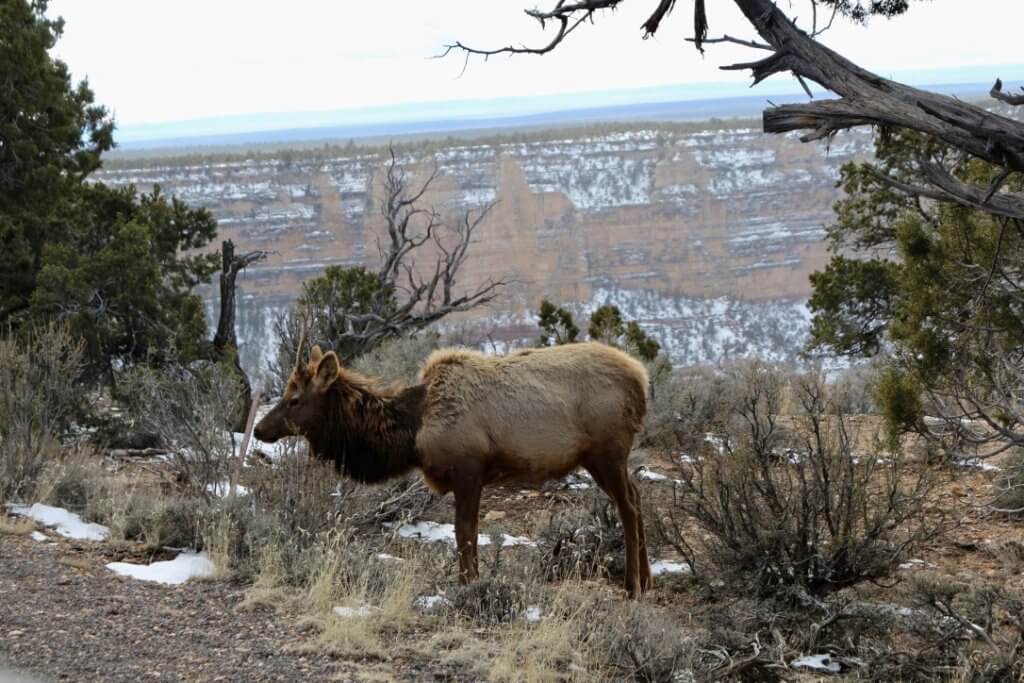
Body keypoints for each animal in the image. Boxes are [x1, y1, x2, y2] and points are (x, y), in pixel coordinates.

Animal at [254, 337, 653, 597]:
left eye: (294, 399)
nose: (258, 429)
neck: (412, 434)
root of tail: (642, 380)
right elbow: (466, 533)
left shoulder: (468, 468)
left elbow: (465, 533)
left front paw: (467, 584)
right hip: (611, 458)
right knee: (637, 496)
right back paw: (648, 579)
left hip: (607, 452)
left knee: (628, 507)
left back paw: (632, 586)